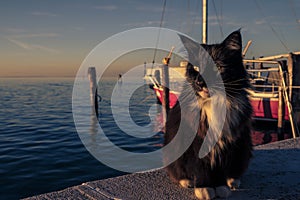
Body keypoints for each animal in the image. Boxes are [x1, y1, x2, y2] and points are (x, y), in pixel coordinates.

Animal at [164, 30, 253, 199]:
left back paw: (232, 181)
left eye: (217, 66)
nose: (200, 82)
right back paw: (187, 181)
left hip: (243, 146)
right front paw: (204, 188)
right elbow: (200, 167)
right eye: (196, 67)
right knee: (177, 171)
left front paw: (221, 187)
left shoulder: (227, 141)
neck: (213, 103)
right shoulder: (195, 142)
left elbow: (220, 168)